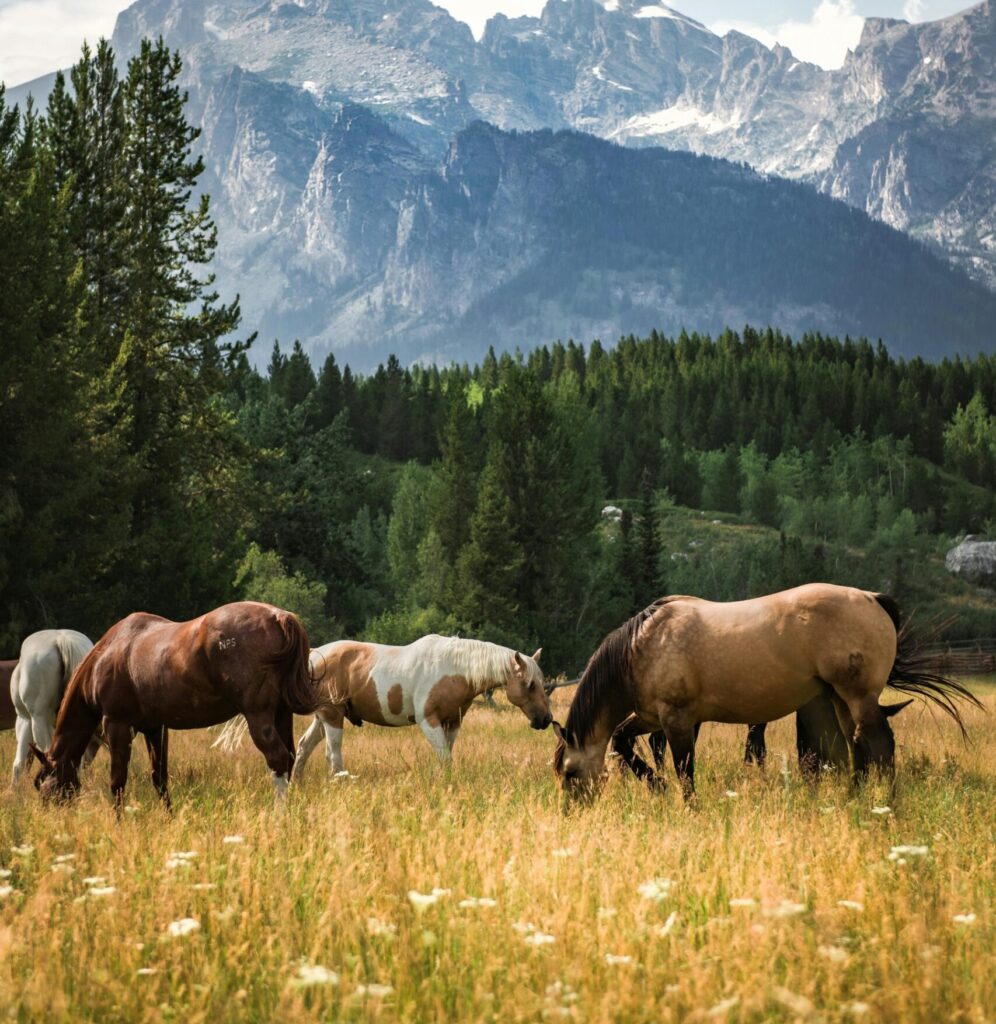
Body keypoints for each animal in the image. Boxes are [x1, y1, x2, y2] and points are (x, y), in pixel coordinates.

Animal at [30, 598, 325, 806]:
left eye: (46, 789)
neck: (109, 653)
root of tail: (278, 616)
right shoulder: (155, 729)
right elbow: (159, 779)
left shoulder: (117, 725)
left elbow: (117, 781)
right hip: (281, 713)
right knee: (289, 757)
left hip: (259, 716)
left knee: (277, 759)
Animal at [552, 581, 978, 802]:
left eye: (570, 773)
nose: (572, 812)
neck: (642, 646)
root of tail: (872, 598)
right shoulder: (651, 717)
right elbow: (623, 741)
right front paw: (656, 785)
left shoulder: (677, 720)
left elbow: (685, 771)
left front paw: (686, 805)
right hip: (840, 699)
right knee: (858, 745)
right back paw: (852, 800)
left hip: (858, 697)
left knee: (880, 745)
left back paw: (883, 803)